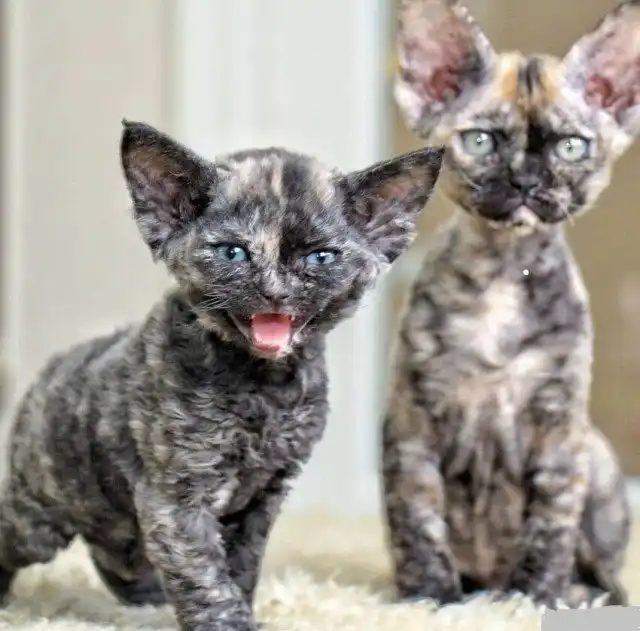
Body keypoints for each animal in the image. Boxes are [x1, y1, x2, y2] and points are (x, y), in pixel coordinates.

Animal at [0, 120, 443, 631]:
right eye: (233, 252)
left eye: (320, 257)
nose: (275, 291)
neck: (263, 385)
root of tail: (49, 370)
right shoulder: (177, 500)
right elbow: (204, 577)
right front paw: (227, 621)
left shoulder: (261, 498)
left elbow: (240, 568)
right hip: (41, 517)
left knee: (115, 554)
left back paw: (144, 598)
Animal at [382, 0, 640, 610]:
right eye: (480, 142)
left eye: (571, 147)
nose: (524, 180)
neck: (502, 273)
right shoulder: (412, 423)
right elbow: (417, 518)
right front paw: (429, 599)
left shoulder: (558, 428)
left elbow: (550, 525)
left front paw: (535, 600)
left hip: (596, 456)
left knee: (606, 573)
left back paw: (577, 594)